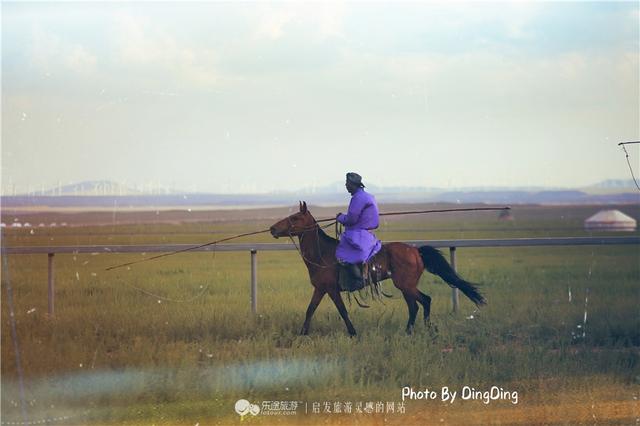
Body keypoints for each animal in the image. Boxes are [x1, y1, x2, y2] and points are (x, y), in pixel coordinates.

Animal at [266, 201, 484, 336]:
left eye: (295, 217)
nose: (272, 228)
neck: (323, 253)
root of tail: (415, 250)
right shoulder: (320, 289)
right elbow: (310, 310)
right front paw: (302, 334)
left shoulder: (332, 289)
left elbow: (342, 311)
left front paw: (353, 333)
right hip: (405, 287)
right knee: (414, 306)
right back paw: (410, 332)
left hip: (405, 285)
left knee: (424, 301)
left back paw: (425, 330)